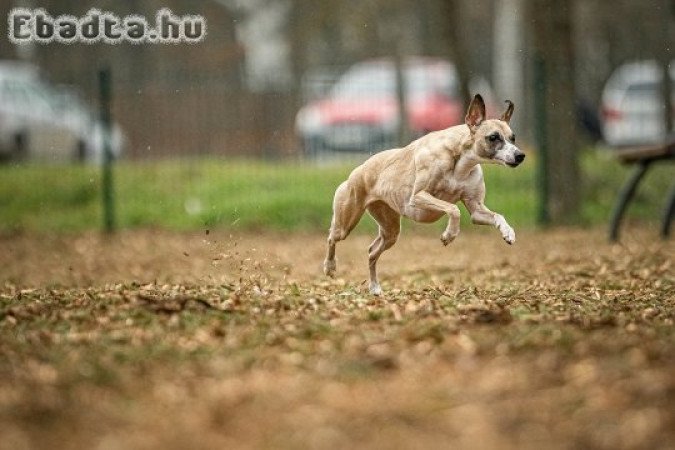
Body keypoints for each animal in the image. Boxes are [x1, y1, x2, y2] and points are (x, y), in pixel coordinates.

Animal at [324, 93, 524, 294]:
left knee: (372, 251)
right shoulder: (418, 197)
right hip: (346, 221)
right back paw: (329, 266)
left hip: (390, 231)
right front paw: (449, 235)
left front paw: (508, 233)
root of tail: (359, 168)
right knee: (332, 236)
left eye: (513, 138)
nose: (520, 155)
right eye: (493, 137)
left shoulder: (476, 209)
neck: (460, 159)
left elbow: (497, 216)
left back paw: (374, 287)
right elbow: (453, 209)